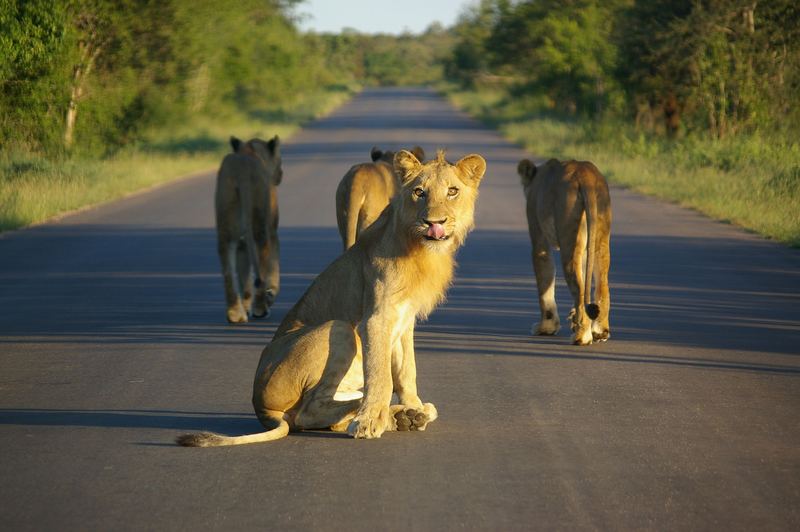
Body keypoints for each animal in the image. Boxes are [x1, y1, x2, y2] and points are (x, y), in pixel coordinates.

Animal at [216, 135, 284, 322]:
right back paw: (261, 308)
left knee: (228, 267)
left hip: (226, 227)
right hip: (260, 228)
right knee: (262, 261)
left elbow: (244, 273)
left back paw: (235, 314)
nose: (281, 174)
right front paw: (271, 293)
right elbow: (274, 264)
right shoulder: (272, 229)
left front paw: (246, 306)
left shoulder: (242, 243)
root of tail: (241, 172)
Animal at [516, 158, 608, 344]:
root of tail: (585, 173)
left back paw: (581, 336)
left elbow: (544, 283)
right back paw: (600, 332)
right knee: (602, 285)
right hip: (599, 238)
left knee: (579, 289)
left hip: (569, 236)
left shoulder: (539, 238)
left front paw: (546, 328)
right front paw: (572, 317)